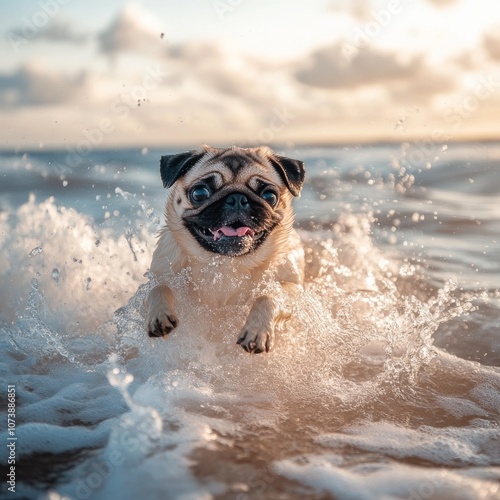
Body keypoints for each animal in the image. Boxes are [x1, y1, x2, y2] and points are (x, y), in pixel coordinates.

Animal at [146, 145, 304, 354]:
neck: (225, 264)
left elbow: (268, 296)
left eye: (269, 196)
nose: (237, 198)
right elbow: (159, 287)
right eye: (199, 194)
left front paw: (257, 330)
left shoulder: (293, 288)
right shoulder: (161, 275)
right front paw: (159, 314)